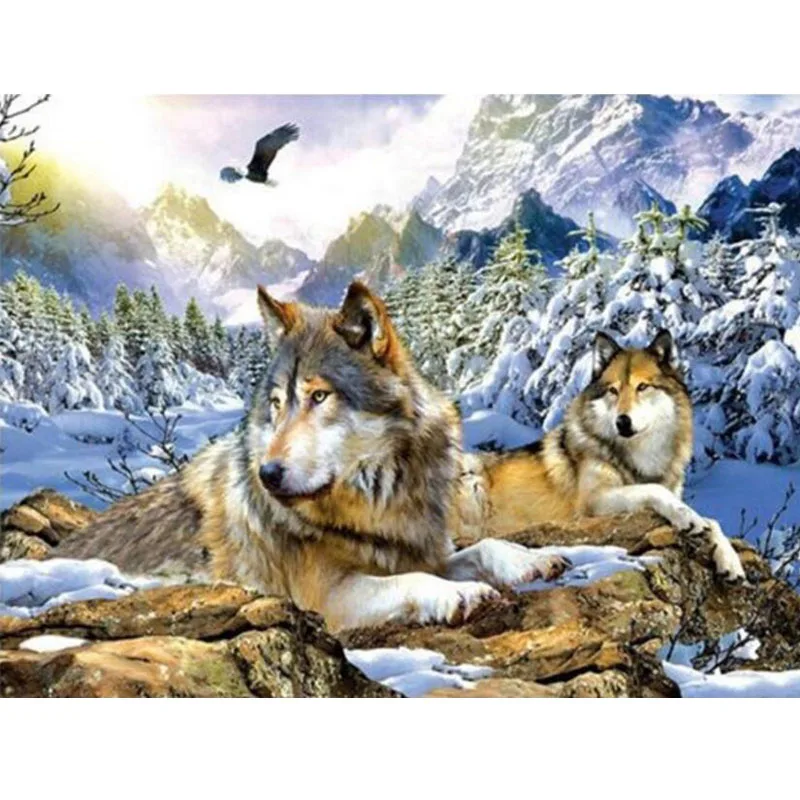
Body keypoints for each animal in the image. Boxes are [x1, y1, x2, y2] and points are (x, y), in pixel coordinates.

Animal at [56, 282, 567, 631]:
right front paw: (461, 594)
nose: (268, 474)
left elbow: (485, 545)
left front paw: (532, 560)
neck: (379, 501)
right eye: (277, 404)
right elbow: (411, 582)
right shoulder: (328, 596)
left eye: (319, 397)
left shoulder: (421, 550)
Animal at [456, 330, 746, 582]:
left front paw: (730, 561)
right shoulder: (593, 502)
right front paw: (686, 517)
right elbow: (655, 490)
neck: (641, 457)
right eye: (613, 390)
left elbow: (712, 522)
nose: (622, 421)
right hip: (472, 480)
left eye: (643, 387)